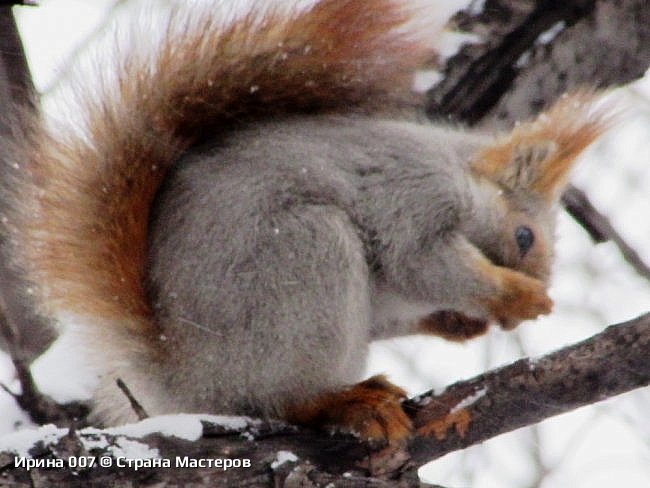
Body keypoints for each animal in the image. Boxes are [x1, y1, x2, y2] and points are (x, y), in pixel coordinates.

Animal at [0, 0, 608, 442]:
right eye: (525, 236)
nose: (532, 289)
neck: (460, 172)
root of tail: (183, 380)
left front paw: (463, 323)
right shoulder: (412, 194)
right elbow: (421, 261)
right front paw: (516, 297)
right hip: (306, 258)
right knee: (283, 398)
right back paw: (345, 400)